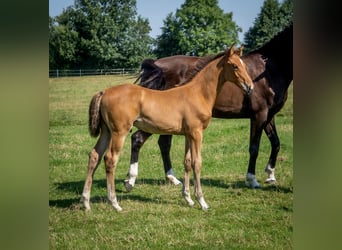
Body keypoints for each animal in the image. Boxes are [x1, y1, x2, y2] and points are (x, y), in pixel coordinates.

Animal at [79, 45, 251, 211]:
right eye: (235, 66)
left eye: (244, 64)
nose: (249, 86)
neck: (198, 93)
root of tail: (104, 92)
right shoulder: (197, 133)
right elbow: (197, 163)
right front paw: (202, 202)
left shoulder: (188, 135)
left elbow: (187, 162)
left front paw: (188, 199)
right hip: (119, 132)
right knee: (110, 159)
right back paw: (114, 203)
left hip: (106, 131)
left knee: (95, 156)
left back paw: (86, 202)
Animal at [127, 24, 292, 190]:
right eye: (235, 66)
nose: (249, 87)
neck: (269, 69)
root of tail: (156, 66)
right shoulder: (259, 115)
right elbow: (254, 148)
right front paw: (252, 179)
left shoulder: (269, 115)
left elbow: (276, 143)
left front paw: (270, 175)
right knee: (139, 139)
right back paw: (132, 180)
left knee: (162, 143)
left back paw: (172, 178)